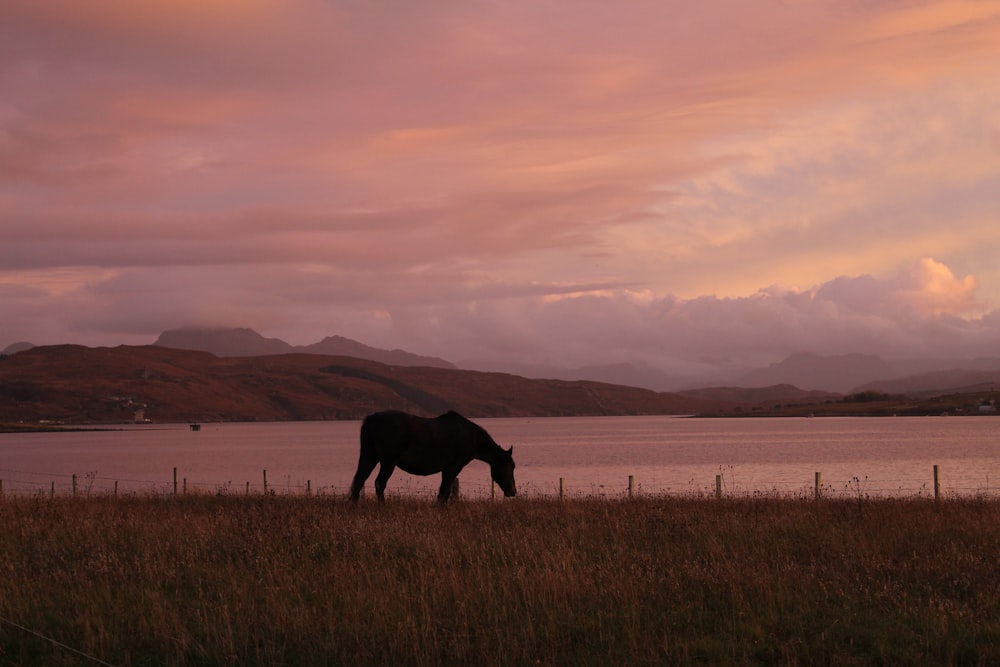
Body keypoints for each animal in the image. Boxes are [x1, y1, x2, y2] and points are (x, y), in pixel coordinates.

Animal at [348, 410, 516, 504]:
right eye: (510, 465)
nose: (513, 491)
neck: (472, 437)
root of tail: (372, 419)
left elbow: (444, 491)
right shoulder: (454, 466)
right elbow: (444, 491)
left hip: (369, 457)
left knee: (359, 481)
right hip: (388, 462)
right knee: (379, 483)